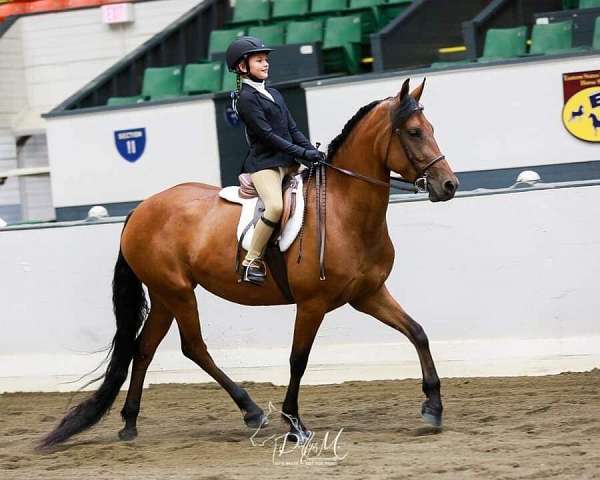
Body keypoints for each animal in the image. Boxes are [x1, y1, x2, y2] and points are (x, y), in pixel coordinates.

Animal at [38, 77, 460, 448]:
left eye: (430, 128)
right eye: (414, 132)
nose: (449, 185)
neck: (343, 210)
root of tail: (141, 209)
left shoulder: (368, 293)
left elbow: (417, 332)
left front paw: (433, 407)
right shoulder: (313, 304)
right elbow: (298, 359)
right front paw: (295, 424)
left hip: (163, 294)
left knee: (144, 349)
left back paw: (129, 424)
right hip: (177, 291)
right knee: (194, 347)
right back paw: (251, 411)